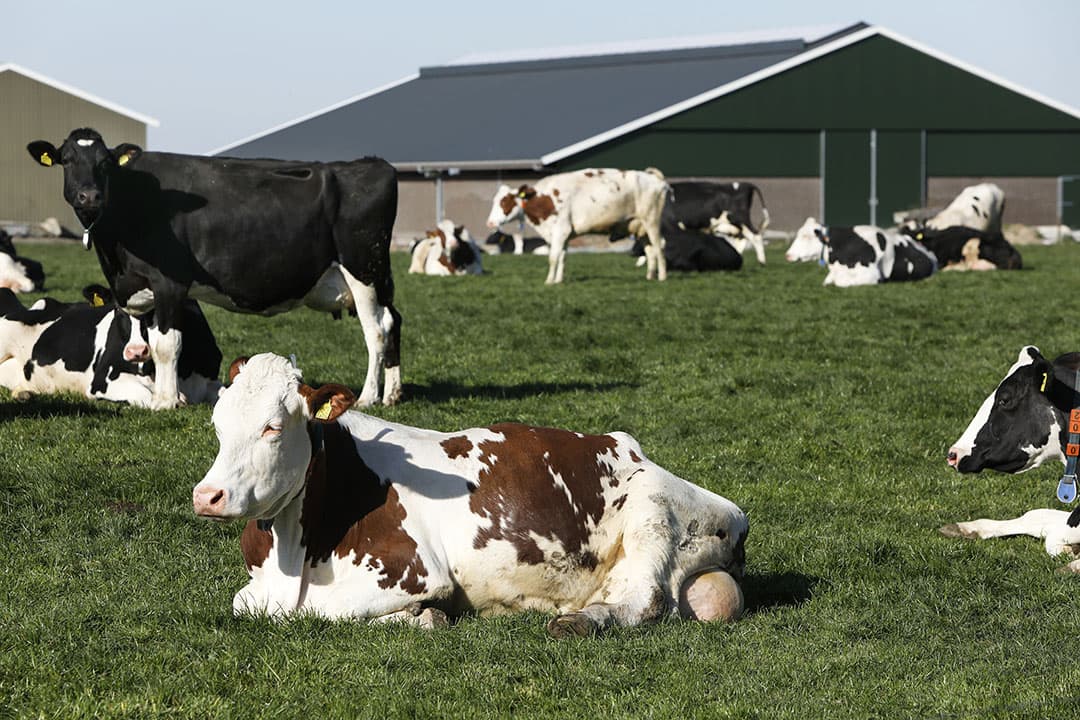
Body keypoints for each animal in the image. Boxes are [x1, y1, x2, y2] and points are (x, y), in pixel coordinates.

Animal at [0, 285, 222, 407]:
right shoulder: (102, 379)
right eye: (118, 309)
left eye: (155, 311)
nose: (135, 352)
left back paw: (24, 394)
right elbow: (146, 395)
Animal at [27, 128, 401, 410]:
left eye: (104, 163)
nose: (88, 196)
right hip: (376, 274)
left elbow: (167, 344)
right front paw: (169, 395)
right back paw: (393, 394)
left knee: (376, 330)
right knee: (393, 320)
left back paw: (368, 397)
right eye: (67, 160)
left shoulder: (170, 282)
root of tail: (372, 164)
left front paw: (166, 401)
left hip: (363, 269)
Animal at [192, 352, 749, 635]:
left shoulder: (415, 572)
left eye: (272, 427)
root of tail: (629, 447)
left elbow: (312, 609)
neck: (294, 549)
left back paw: (578, 621)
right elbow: (246, 604)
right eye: (217, 424)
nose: (207, 495)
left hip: (653, 510)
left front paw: (422, 617)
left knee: (646, 600)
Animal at [485, 168, 669, 284]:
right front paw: (558, 280)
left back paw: (662, 277)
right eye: (495, 200)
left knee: (659, 248)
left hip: (652, 221)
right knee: (650, 251)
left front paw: (549, 281)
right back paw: (650, 277)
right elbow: (562, 257)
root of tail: (656, 180)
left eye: (504, 201)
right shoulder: (564, 234)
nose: (490, 223)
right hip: (640, 228)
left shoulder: (560, 230)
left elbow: (553, 257)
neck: (544, 199)